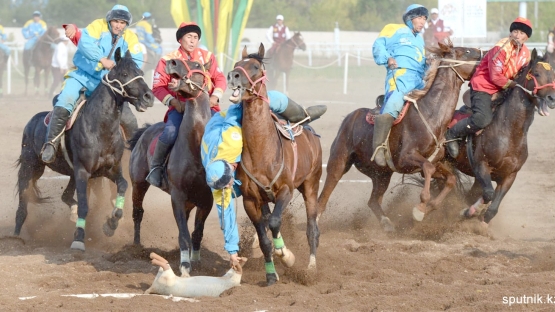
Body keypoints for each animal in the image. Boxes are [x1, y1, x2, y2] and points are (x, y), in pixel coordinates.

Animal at [15, 47, 154, 250]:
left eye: (141, 72)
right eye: (124, 74)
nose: (148, 97)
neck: (100, 129)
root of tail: (32, 121)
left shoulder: (109, 170)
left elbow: (122, 186)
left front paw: (111, 222)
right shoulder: (83, 172)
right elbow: (84, 206)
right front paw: (79, 239)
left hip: (68, 173)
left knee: (65, 196)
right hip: (30, 167)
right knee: (23, 205)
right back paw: (15, 237)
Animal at [127, 58, 213, 272]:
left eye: (197, 65)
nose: (172, 62)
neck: (195, 147)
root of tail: (145, 131)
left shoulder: (207, 200)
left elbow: (197, 232)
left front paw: (196, 260)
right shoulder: (177, 197)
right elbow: (183, 235)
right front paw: (184, 265)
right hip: (139, 184)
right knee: (138, 213)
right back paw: (136, 245)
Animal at [228, 43, 324, 286]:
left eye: (255, 66)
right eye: (237, 64)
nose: (233, 76)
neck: (262, 152)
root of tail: (310, 131)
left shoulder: (285, 191)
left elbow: (274, 222)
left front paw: (286, 255)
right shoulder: (251, 200)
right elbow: (264, 237)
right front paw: (271, 274)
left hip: (311, 185)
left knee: (312, 229)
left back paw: (311, 268)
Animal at [320, 42, 484, 232]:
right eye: (466, 51)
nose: (486, 54)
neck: (430, 116)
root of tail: (350, 117)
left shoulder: (434, 163)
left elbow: (449, 179)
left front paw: (430, 207)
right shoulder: (406, 159)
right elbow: (428, 168)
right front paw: (420, 208)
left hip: (381, 174)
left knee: (373, 201)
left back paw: (387, 225)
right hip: (339, 162)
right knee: (325, 194)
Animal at [452, 48, 555, 224]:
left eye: (553, 74)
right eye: (536, 73)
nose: (552, 98)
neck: (509, 134)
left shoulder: (509, 176)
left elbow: (492, 208)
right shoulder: (481, 165)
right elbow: (488, 194)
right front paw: (467, 211)